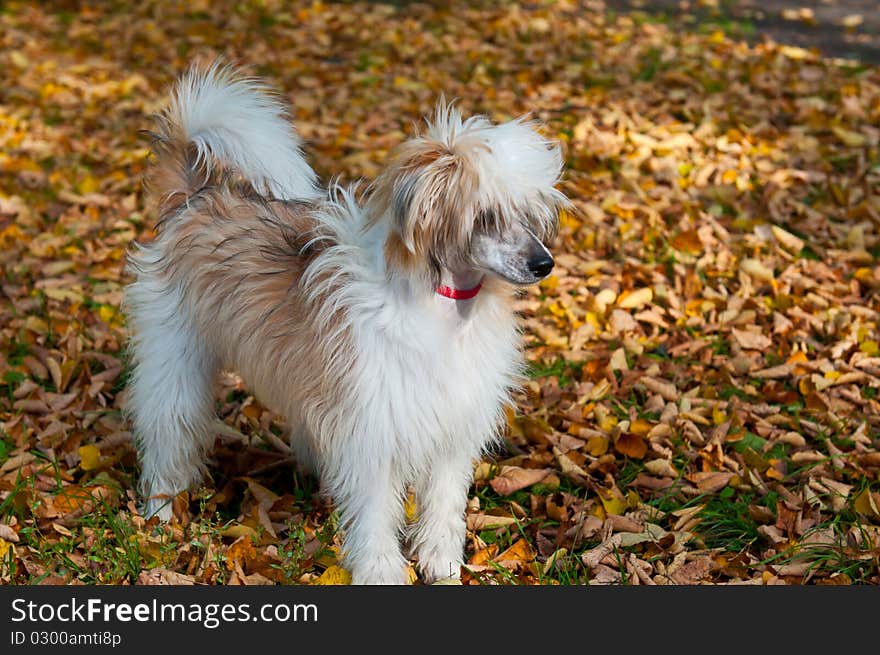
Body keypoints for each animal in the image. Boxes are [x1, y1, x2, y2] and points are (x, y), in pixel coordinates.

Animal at [125, 61, 572, 584]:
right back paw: (160, 512)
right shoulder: (371, 432)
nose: (544, 264)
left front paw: (441, 563)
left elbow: (444, 503)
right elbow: (376, 511)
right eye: (485, 216)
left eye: (528, 215)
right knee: (168, 433)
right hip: (173, 367)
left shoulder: (451, 426)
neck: (442, 307)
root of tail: (195, 197)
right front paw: (381, 570)